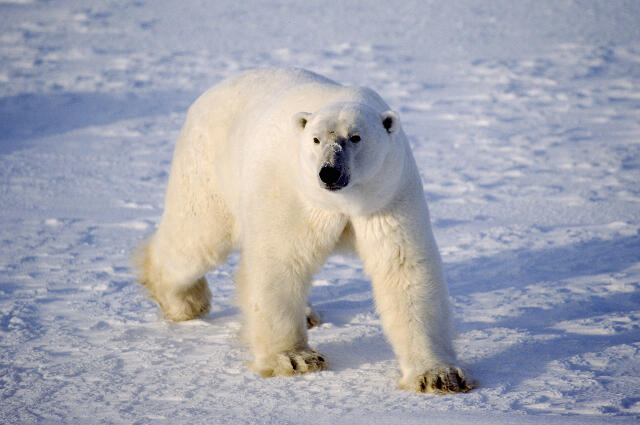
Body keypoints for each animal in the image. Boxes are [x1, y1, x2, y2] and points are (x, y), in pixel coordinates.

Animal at [136, 68, 471, 394]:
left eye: (355, 137)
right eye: (315, 140)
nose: (329, 172)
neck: (343, 200)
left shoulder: (389, 194)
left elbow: (403, 268)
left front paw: (437, 376)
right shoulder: (291, 192)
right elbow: (280, 262)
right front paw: (295, 358)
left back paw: (307, 313)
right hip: (207, 168)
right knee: (197, 237)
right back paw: (185, 301)